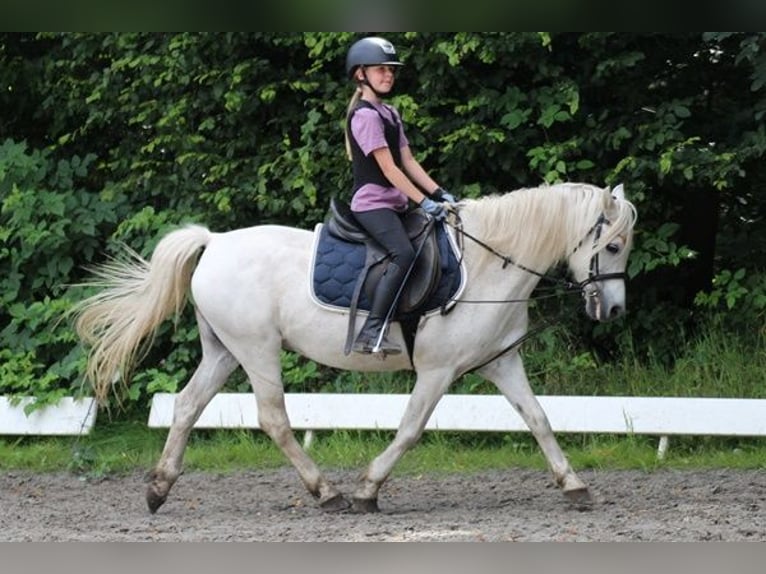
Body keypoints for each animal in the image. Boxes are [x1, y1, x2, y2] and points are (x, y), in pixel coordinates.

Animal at [73, 182, 636, 516]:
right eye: (611, 246)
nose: (613, 311)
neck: (488, 263)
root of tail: (215, 241)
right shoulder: (438, 370)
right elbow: (410, 429)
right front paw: (368, 489)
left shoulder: (501, 361)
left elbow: (539, 419)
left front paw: (574, 486)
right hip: (257, 349)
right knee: (273, 418)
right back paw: (328, 493)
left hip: (224, 350)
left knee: (189, 405)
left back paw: (158, 489)